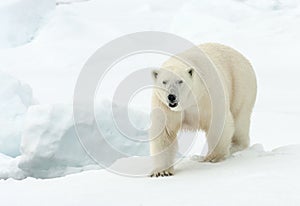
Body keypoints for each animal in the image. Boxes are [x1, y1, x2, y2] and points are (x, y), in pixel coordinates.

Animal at [149, 42, 256, 177]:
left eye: (180, 81)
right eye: (164, 81)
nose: (171, 96)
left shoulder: (208, 95)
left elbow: (217, 122)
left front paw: (213, 157)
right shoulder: (164, 107)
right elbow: (164, 132)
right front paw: (161, 171)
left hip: (240, 85)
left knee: (240, 118)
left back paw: (235, 147)